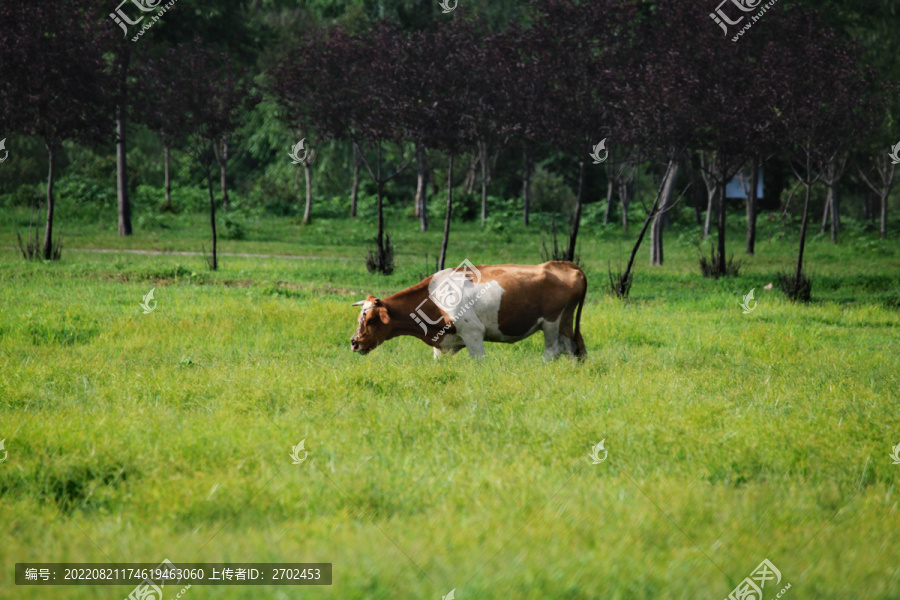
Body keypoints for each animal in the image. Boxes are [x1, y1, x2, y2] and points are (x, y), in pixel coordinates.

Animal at [348, 260, 588, 358]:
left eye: (369, 319)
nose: (354, 343)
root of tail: (563, 264)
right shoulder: (442, 343)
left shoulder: (473, 334)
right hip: (565, 323)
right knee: (571, 349)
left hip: (551, 322)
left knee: (553, 351)